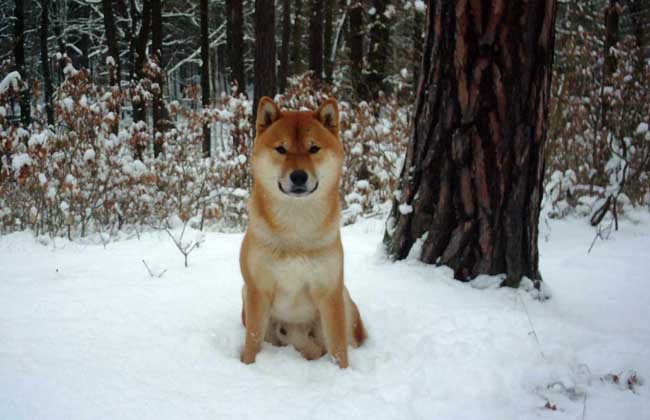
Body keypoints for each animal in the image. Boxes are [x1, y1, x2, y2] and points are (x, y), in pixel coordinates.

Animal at [240, 96, 368, 368]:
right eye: (281, 149)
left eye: (314, 149)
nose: (298, 176)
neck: (295, 228)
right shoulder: (257, 290)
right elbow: (252, 341)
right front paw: (248, 366)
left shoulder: (329, 292)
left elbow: (339, 347)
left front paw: (342, 373)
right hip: (248, 299)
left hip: (344, 298)